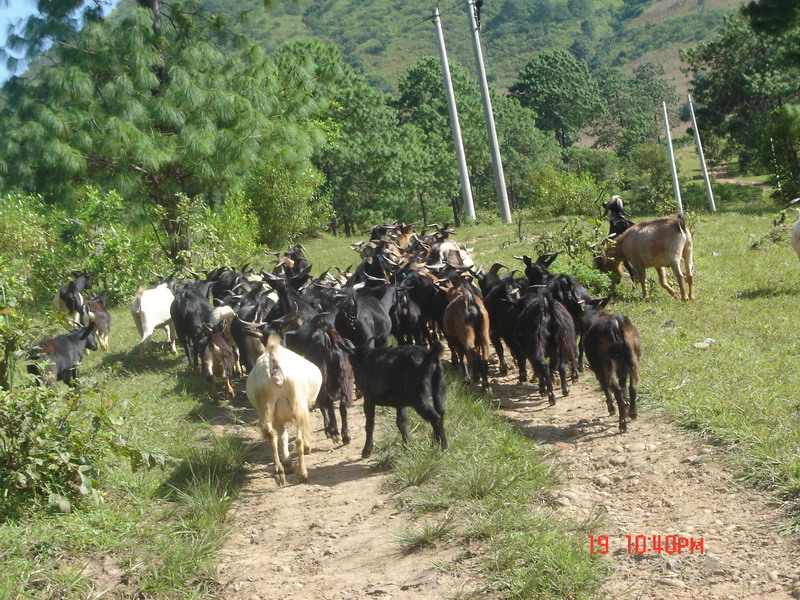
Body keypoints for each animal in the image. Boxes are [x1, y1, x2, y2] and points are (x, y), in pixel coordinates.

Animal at [245, 336, 320, 486]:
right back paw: (303, 474)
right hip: (298, 402)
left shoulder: (277, 418)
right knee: (298, 440)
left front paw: (287, 463)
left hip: (266, 405)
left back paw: (279, 472)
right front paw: (306, 449)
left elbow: (283, 436)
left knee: (271, 434)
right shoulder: (303, 410)